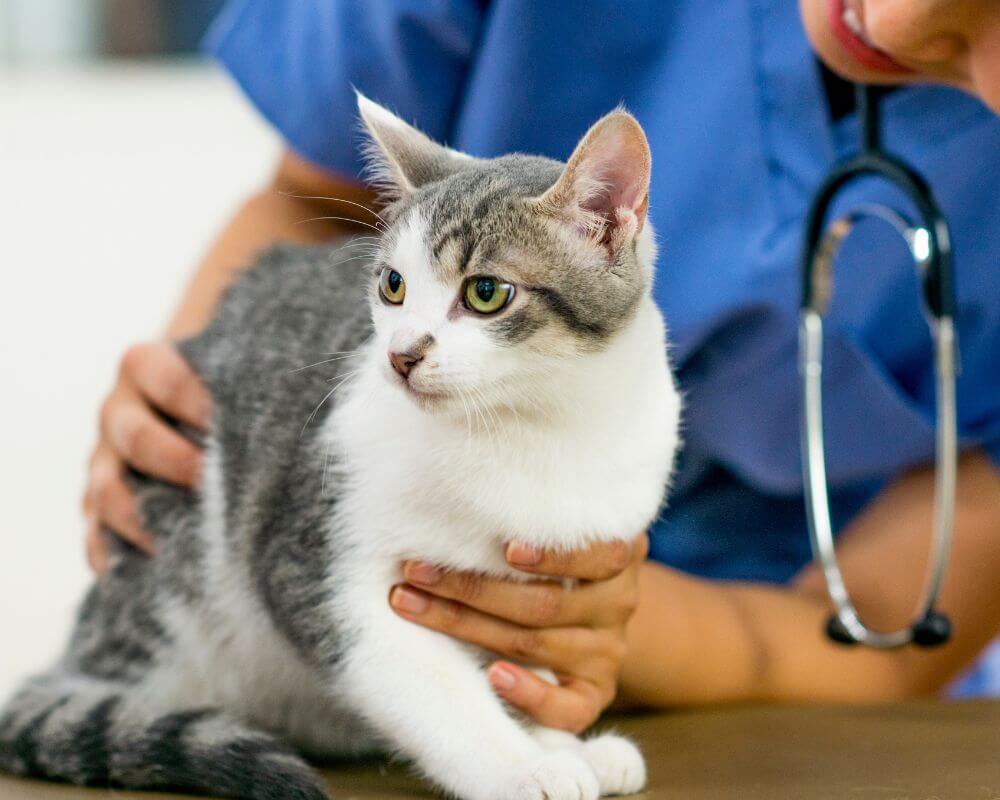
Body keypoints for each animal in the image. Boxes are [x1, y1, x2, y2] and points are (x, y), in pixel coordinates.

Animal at [0, 94, 680, 800]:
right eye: (393, 286)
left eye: (486, 293)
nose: (401, 354)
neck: (536, 425)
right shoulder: (315, 561)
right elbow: (427, 683)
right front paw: (524, 766)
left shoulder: (549, 579)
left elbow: (527, 669)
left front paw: (558, 739)